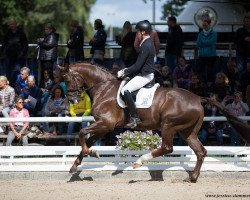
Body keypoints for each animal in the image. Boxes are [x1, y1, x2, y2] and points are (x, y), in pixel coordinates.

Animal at [59, 62, 250, 183]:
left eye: (67, 80)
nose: (72, 100)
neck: (104, 88)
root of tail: (198, 98)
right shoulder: (103, 126)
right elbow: (88, 140)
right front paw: (76, 165)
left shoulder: (106, 124)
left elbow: (82, 133)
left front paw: (92, 154)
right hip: (187, 132)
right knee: (200, 151)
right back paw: (192, 178)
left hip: (168, 125)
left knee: (167, 148)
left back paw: (140, 161)